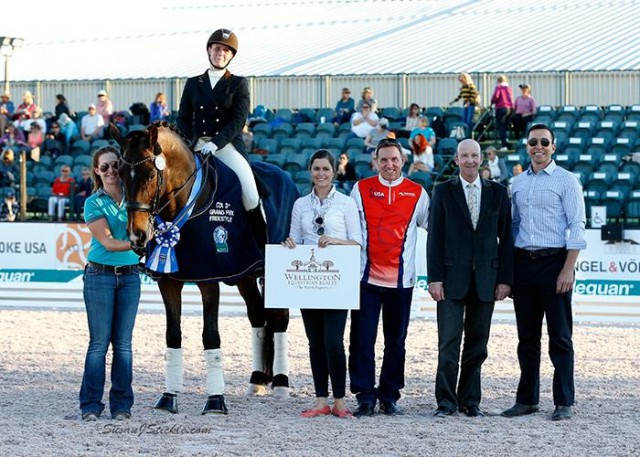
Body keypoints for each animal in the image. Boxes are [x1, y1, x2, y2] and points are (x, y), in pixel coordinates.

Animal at [111, 123, 296, 416]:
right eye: (119, 173)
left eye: (151, 174)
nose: (136, 236)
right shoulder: (168, 280)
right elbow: (172, 335)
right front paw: (168, 397)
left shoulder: (209, 279)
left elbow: (210, 336)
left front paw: (215, 400)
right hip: (244, 276)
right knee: (257, 314)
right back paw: (256, 379)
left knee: (279, 318)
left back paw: (280, 383)